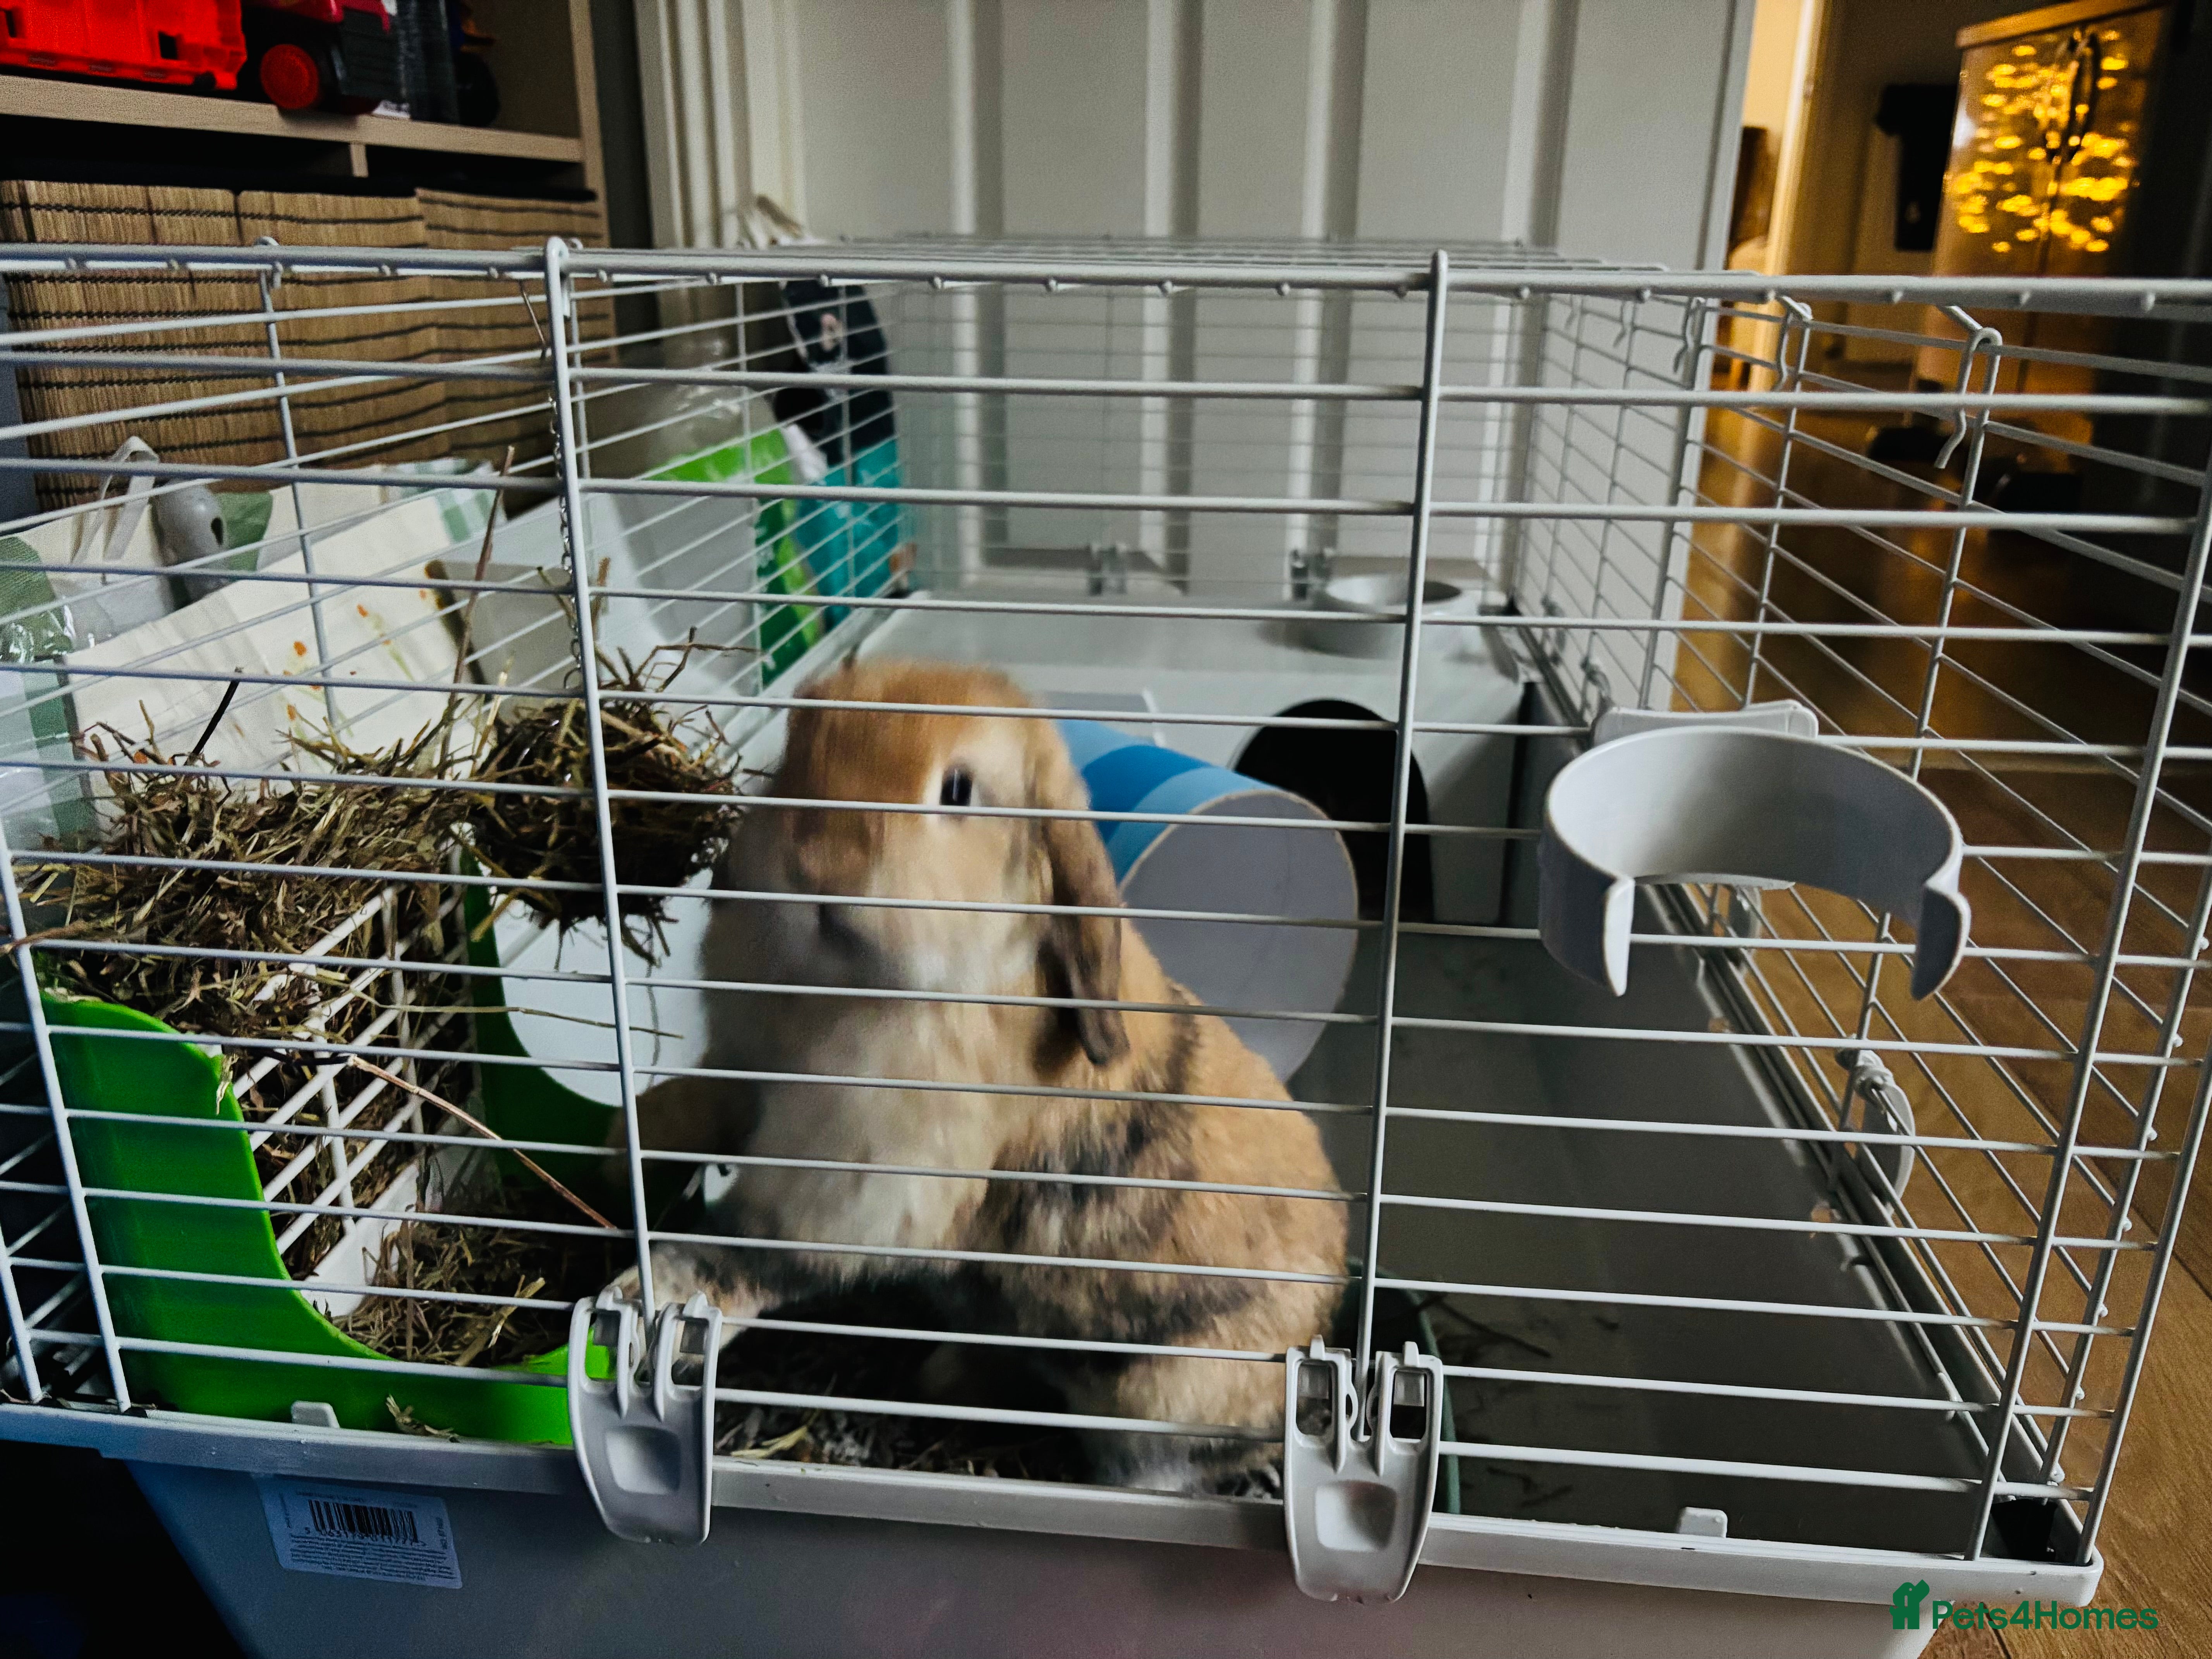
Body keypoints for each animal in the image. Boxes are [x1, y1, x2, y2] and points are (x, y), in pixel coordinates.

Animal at [606, 658, 1348, 1493]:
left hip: (1163, 1406)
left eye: (957, 790)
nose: (818, 865)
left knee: (1149, 1468)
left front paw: (652, 1294)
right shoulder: (746, 1072)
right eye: (797, 748)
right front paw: (622, 1144)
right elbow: (698, 1104)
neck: (838, 987)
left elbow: (753, 1255)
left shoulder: (859, 1189)